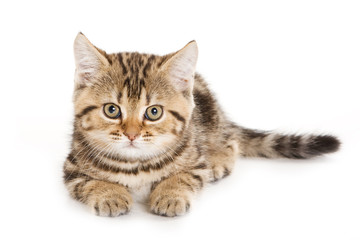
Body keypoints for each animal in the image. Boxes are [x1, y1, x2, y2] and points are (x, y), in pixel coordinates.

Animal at [63, 33, 342, 218]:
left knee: (231, 142)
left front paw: (170, 194)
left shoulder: (195, 162)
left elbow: (185, 176)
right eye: (111, 110)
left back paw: (218, 159)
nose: (131, 135)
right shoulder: (71, 168)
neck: (136, 165)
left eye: (154, 112)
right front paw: (110, 194)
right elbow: (89, 182)